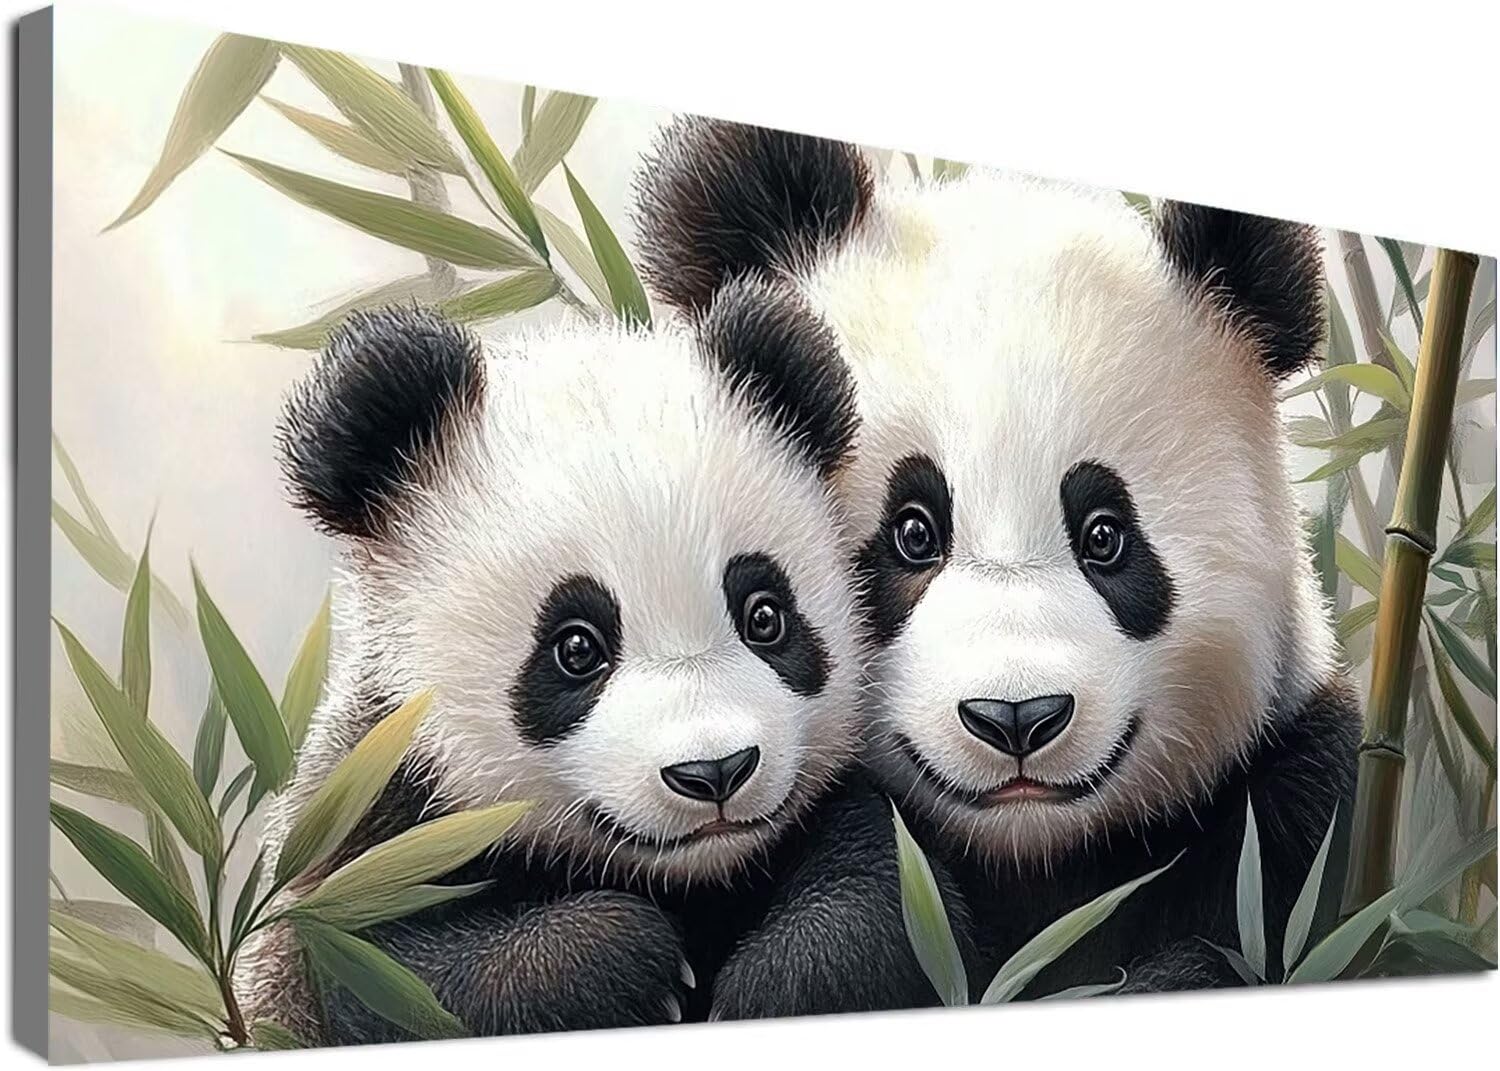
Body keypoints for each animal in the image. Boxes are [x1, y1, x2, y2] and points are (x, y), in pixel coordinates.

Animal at [236, 301, 947, 1044]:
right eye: (576, 649)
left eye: (765, 616)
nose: (715, 772)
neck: (693, 875)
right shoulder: (376, 816)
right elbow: (383, 970)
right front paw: (626, 961)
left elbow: (884, 877)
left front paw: (778, 979)